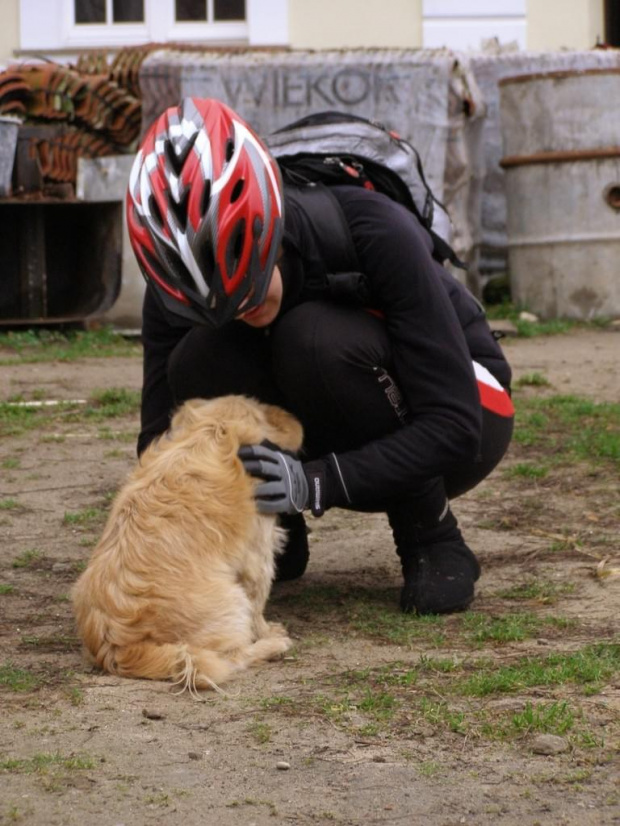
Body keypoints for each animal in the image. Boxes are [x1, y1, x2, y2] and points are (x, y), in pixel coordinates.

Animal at [71, 396, 304, 692]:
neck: (213, 429)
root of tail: (122, 649)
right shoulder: (258, 553)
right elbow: (258, 603)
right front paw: (267, 631)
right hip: (232, 602)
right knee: (230, 657)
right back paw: (273, 646)